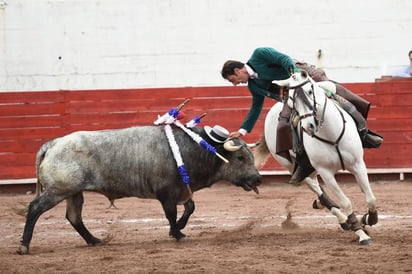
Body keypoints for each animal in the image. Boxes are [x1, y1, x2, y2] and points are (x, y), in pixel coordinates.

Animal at [17, 124, 262, 255]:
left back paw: (94, 240)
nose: (258, 179)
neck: (192, 148)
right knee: (35, 208)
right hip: (58, 190)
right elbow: (171, 213)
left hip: (73, 193)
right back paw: (24, 246)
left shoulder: (182, 189)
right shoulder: (167, 193)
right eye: (240, 158)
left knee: (74, 216)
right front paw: (178, 233)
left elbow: (190, 207)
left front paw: (178, 229)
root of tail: (53, 143)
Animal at [256, 70, 378, 244]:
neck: (330, 133)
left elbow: (370, 198)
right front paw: (361, 233)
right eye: (291, 97)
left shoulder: (358, 164)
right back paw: (341, 218)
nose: (309, 126)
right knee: (315, 186)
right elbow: (346, 202)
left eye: (310, 91)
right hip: (294, 167)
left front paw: (369, 219)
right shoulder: (326, 172)